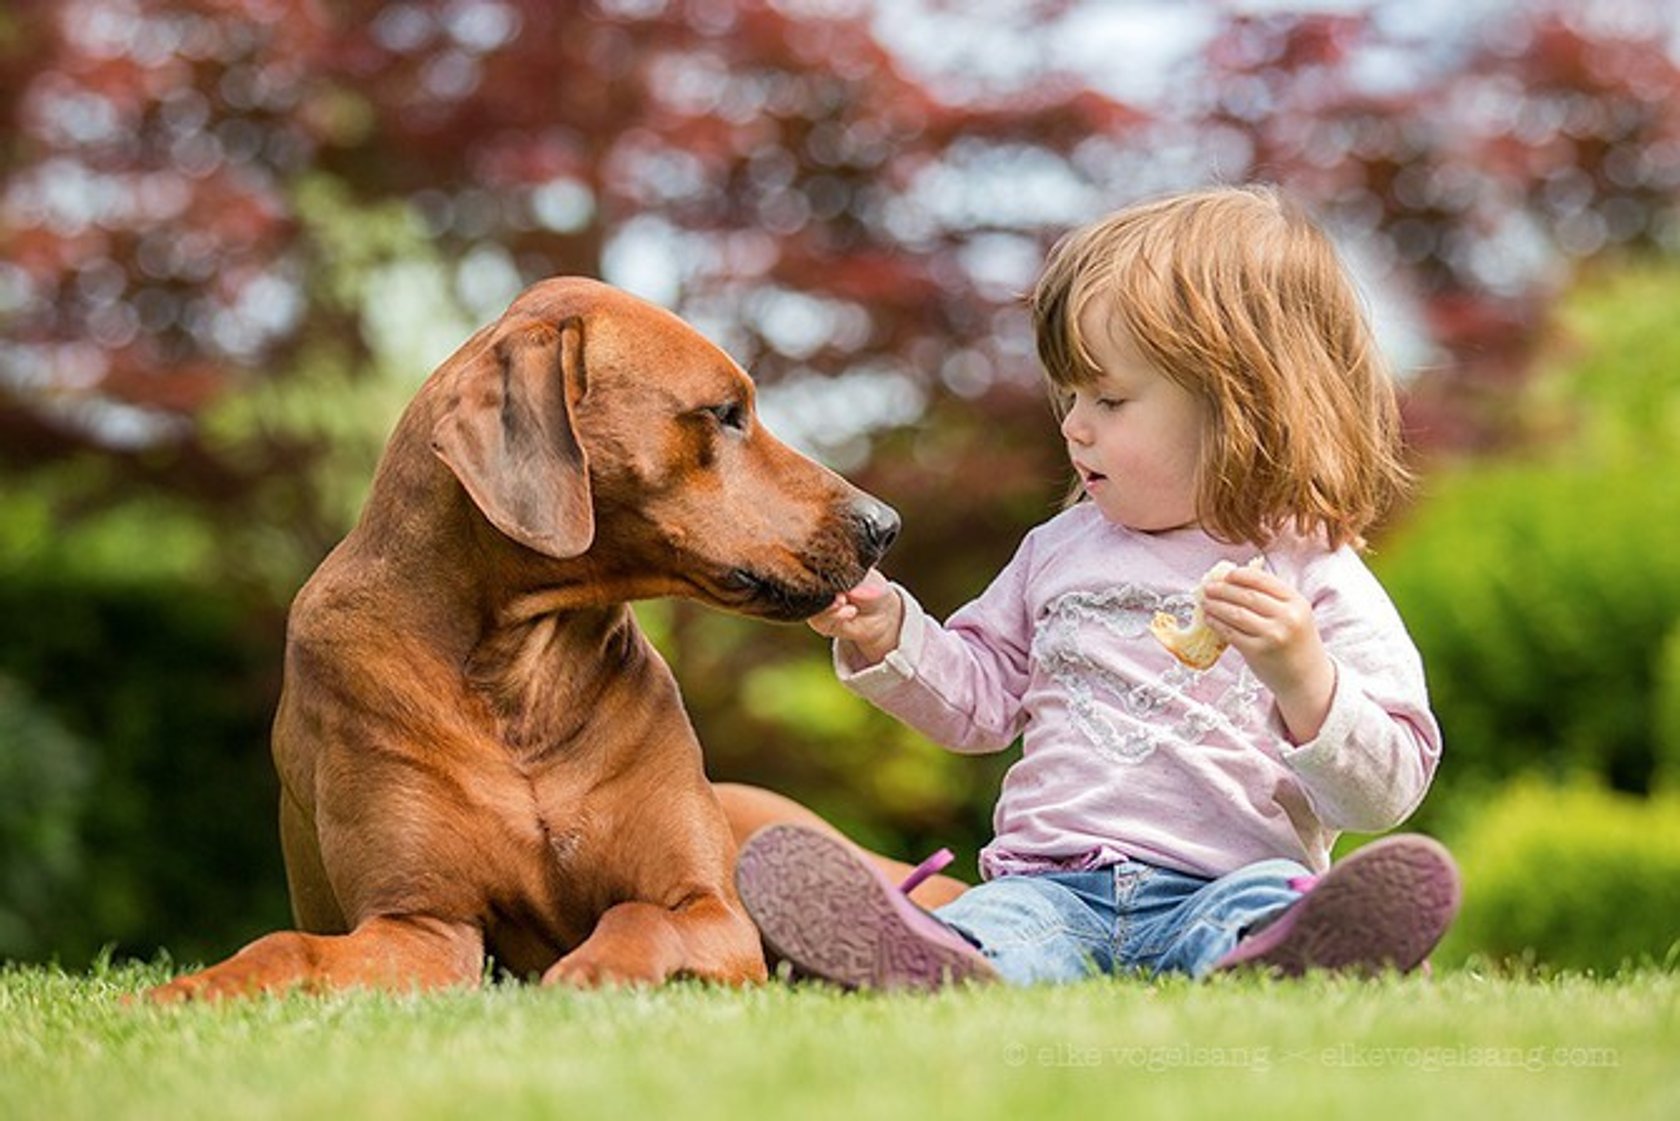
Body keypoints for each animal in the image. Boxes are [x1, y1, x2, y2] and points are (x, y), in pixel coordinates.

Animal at [147, 273, 907, 1001]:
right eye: (725, 413)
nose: (885, 524)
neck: (523, 680)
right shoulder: (423, 923)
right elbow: (288, 945)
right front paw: (186, 989)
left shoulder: (710, 908)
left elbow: (643, 913)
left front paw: (597, 967)